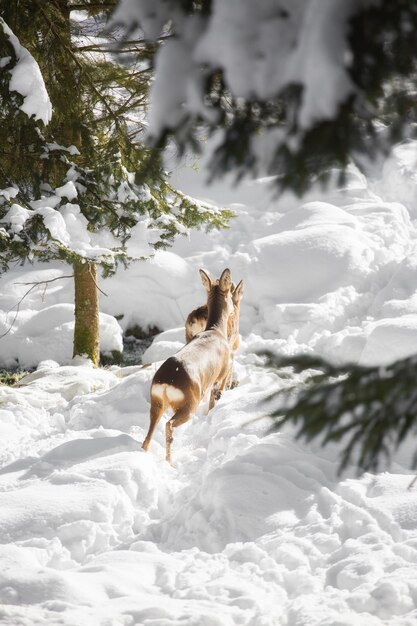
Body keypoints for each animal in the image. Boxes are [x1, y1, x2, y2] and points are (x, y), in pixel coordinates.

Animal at [141, 266, 234, 460]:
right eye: (230, 293)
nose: (232, 311)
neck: (216, 330)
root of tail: (166, 383)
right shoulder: (222, 374)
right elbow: (215, 399)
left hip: (156, 402)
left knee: (147, 437)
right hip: (189, 404)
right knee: (169, 426)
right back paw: (170, 461)